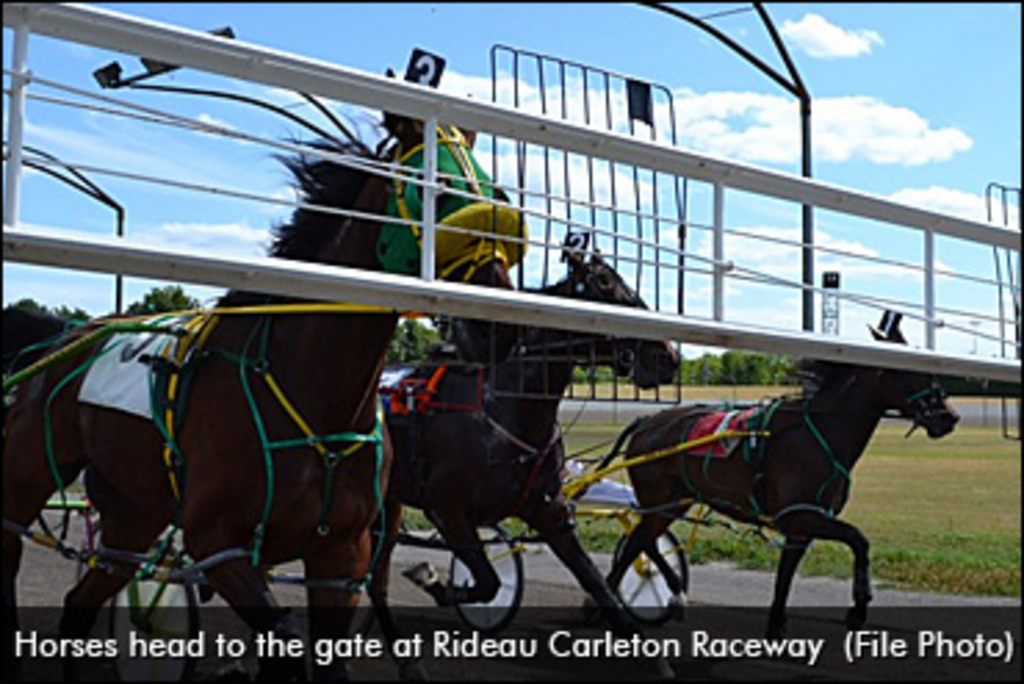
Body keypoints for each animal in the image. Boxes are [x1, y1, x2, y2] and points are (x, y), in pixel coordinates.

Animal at [2, 114, 520, 679]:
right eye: (439, 192)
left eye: (497, 194)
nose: (498, 327)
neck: (312, 394)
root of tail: (63, 337)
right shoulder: (218, 543)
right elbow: (285, 640)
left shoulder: (341, 555)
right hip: (28, 475)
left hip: (133, 513)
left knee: (80, 604)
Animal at [368, 249, 679, 643]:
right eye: (604, 282)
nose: (668, 356)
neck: (503, 405)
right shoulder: (445, 508)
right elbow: (487, 581)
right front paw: (434, 580)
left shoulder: (549, 511)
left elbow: (596, 583)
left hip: (388, 502)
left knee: (375, 576)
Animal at [598, 313, 958, 638]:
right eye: (912, 369)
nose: (949, 416)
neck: (820, 432)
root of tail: (645, 422)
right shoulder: (800, 515)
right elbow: (858, 539)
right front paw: (858, 607)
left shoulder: (802, 526)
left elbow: (785, 578)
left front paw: (776, 628)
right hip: (660, 499)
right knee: (638, 542)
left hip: (674, 501)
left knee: (644, 540)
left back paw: (666, 592)